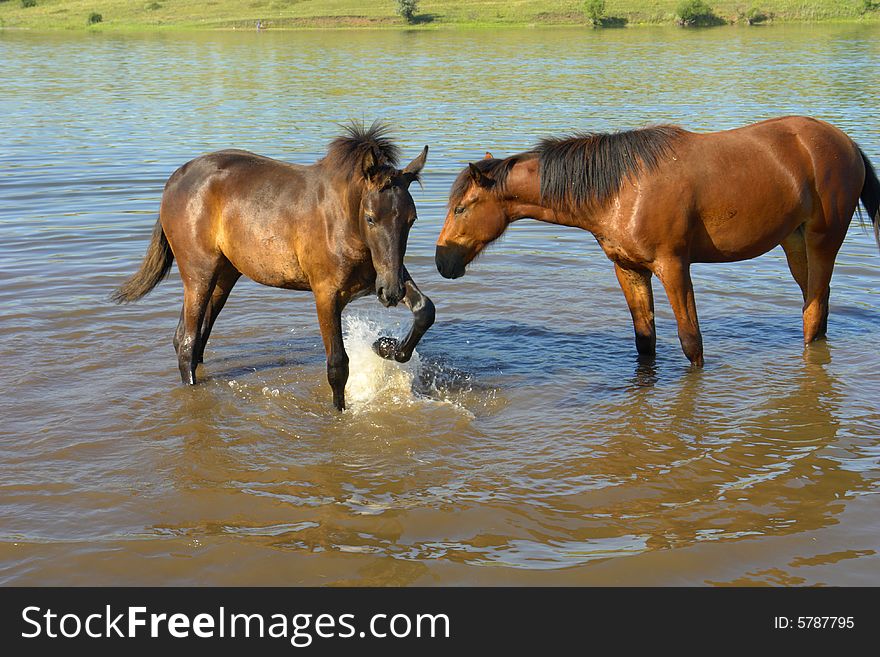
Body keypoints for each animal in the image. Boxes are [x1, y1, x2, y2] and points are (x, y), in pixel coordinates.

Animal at [111, 121, 434, 410]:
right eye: (370, 218)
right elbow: (337, 365)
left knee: (191, 337)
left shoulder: (384, 276)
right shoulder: (326, 294)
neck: (344, 224)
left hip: (223, 277)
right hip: (198, 276)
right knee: (189, 343)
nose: (390, 294)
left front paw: (386, 346)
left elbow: (425, 310)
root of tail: (174, 180)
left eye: (412, 219)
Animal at [436, 117, 876, 364]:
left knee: (813, 312)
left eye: (461, 208)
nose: (443, 262)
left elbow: (691, 342)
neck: (619, 190)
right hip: (794, 243)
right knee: (816, 307)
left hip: (823, 241)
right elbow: (644, 341)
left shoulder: (673, 266)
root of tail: (847, 143)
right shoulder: (629, 269)